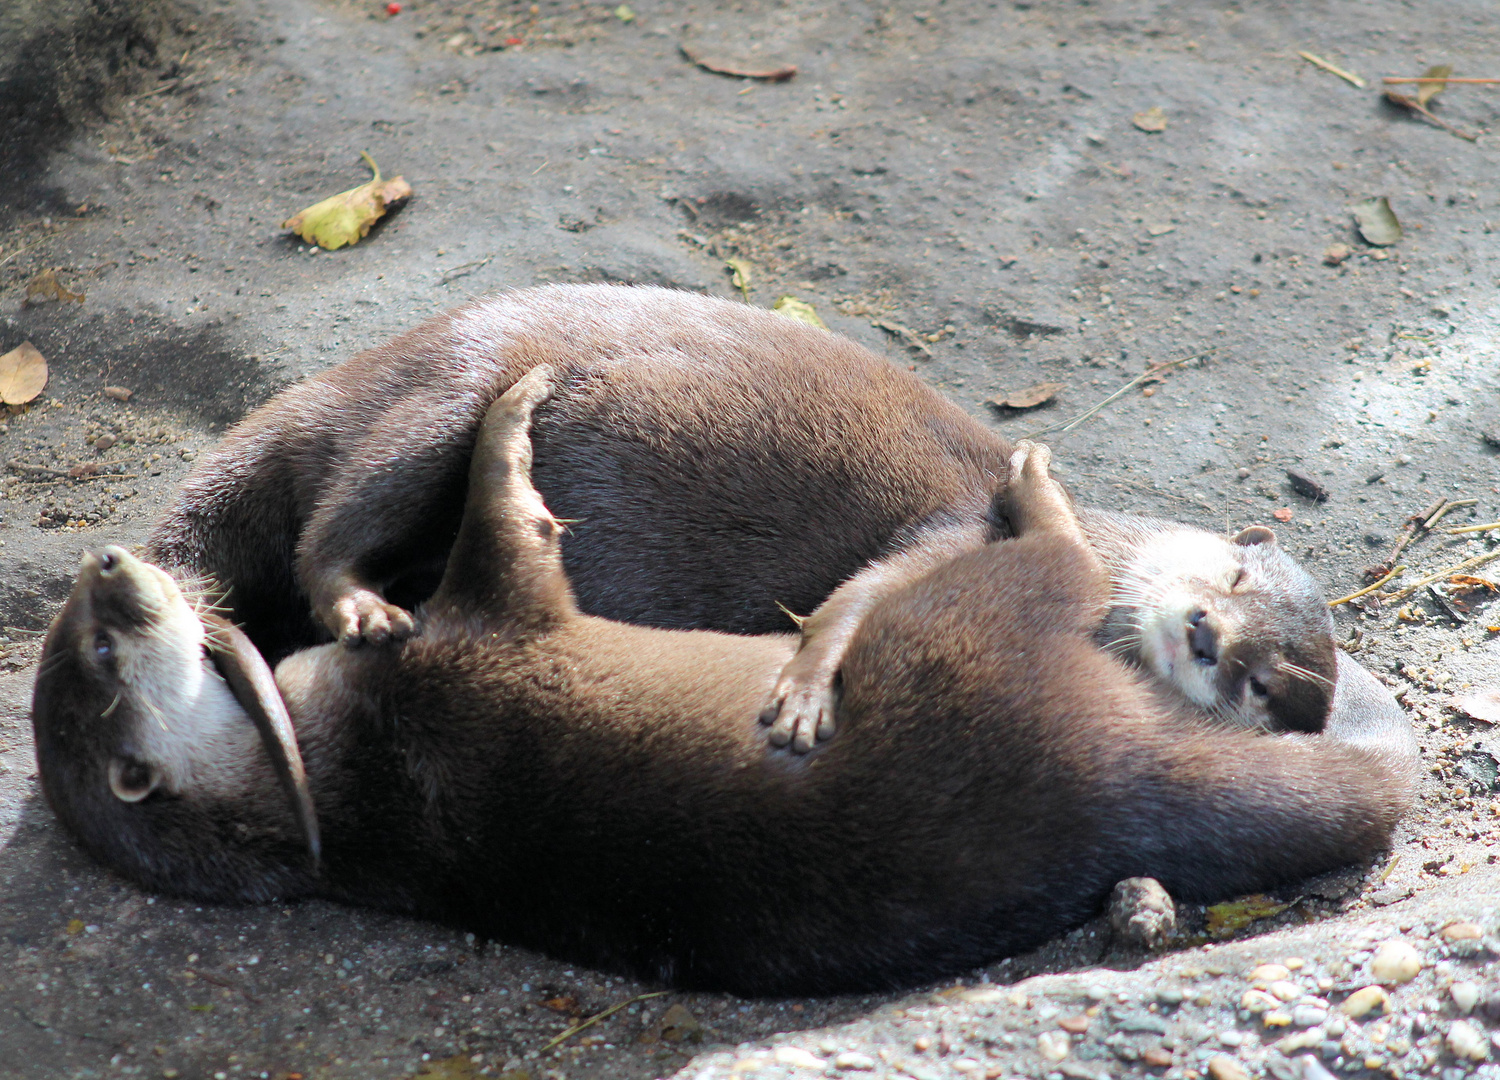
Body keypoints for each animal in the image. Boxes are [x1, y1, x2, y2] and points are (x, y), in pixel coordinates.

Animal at [35, 373, 1416, 996]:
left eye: (1259, 680)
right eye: (1228, 574)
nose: (104, 570)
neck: (351, 781)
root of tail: (1112, 784)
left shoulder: (482, 633)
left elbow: (508, 537)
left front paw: (514, 430)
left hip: (991, 635)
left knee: (1051, 563)